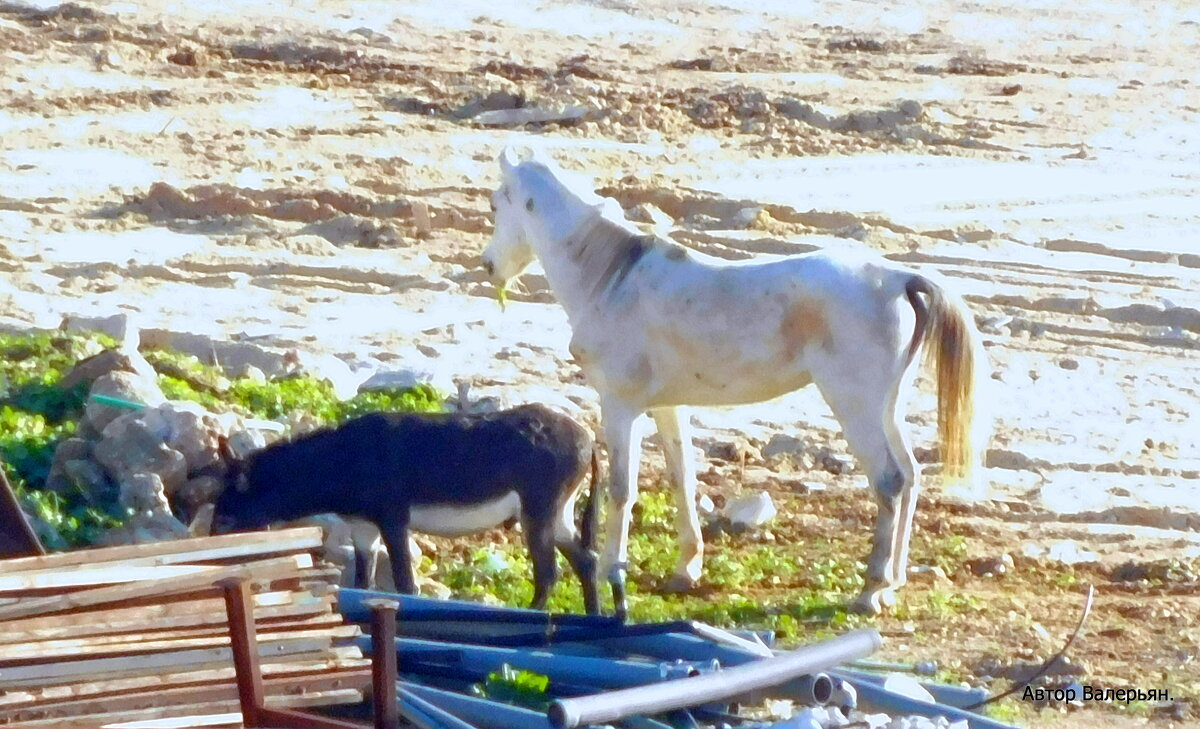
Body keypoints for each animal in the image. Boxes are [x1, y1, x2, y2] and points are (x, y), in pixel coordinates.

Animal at [477, 148, 984, 613]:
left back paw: (871, 590)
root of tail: (898, 278)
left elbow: (622, 489)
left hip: (854, 407)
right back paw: (894, 581)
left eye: (496, 204)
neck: (612, 278)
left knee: (890, 481)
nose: (488, 266)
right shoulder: (667, 407)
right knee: (912, 475)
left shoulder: (620, 407)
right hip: (887, 409)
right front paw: (686, 569)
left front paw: (610, 568)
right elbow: (682, 477)